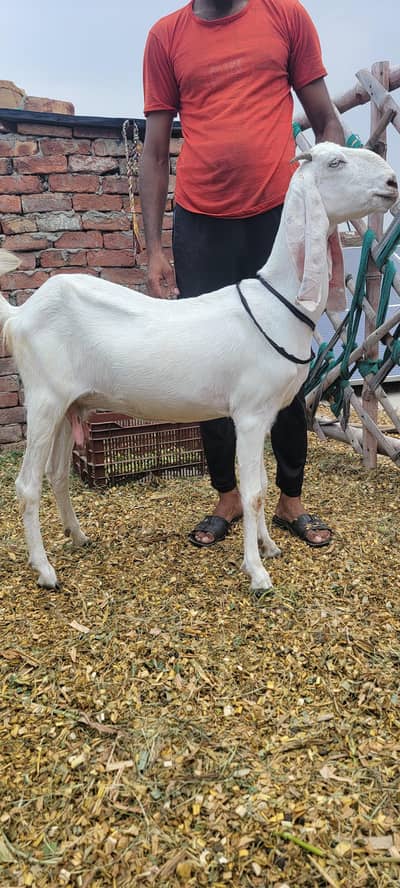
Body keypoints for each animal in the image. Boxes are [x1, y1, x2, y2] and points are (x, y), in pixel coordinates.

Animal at [0, 143, 398, 591]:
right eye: (335, 163)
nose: (391, 182)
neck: (275, 303)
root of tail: (21, 314)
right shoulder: (248, 414)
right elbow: (252, 492)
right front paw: (257, 572)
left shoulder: (264, 415)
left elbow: (261, 483)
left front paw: (268, 547)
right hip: (44, 399)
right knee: (27, 484)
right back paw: (45, 570)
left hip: (71, 404)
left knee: (57, 474)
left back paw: (78, 536)